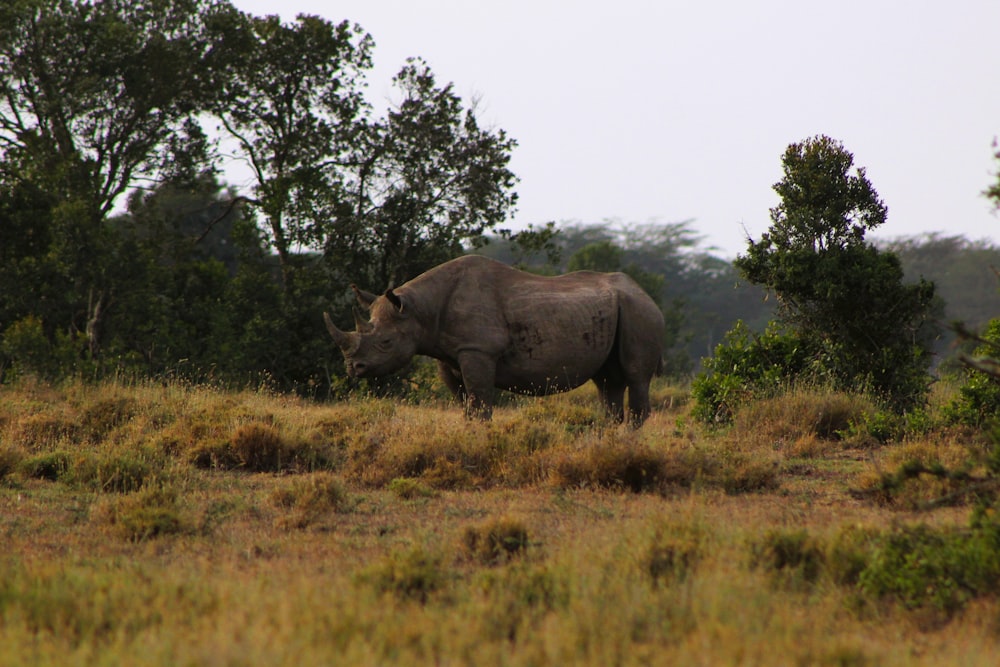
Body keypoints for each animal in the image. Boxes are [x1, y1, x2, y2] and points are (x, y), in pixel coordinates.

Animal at [326, 253, 664, 426]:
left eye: (385, 343)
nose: (353, 368)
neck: (420, 310)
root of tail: (647, 294)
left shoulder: (478, 350)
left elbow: (480, 404)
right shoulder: (449, 356)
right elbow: (466, 406)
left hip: (639, 312)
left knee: (635, 376)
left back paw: (628, 442)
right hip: (617, 311)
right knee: (608, 382)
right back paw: (609, 438)